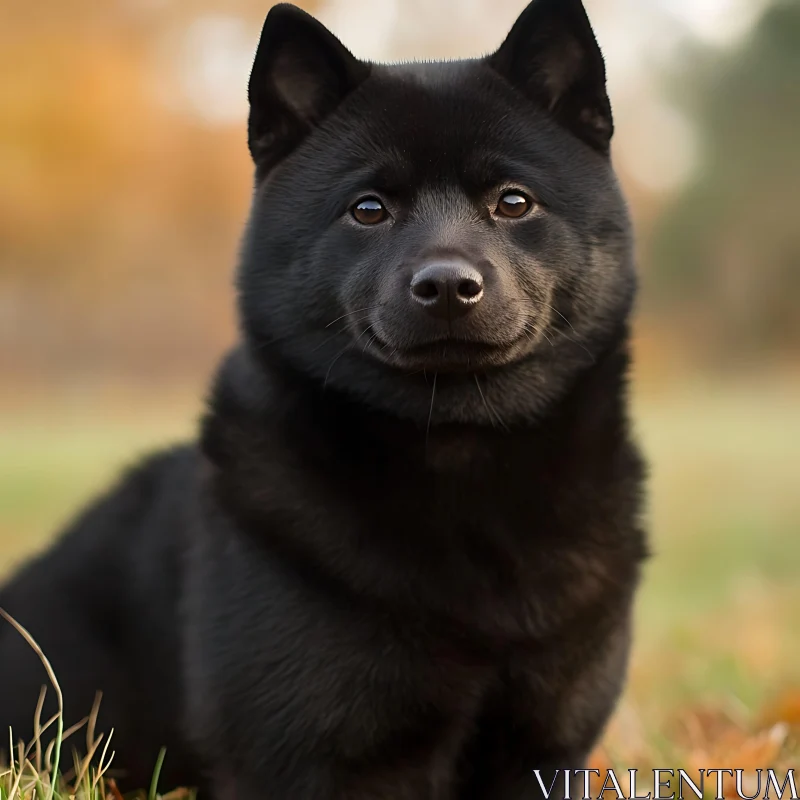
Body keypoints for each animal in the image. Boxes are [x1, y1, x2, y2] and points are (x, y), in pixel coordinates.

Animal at [0, 3, 648, 796]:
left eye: (513, 202)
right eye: (367, 209)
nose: (447, 286)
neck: (459, 460)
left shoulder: (544, 750)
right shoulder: (315, 757)